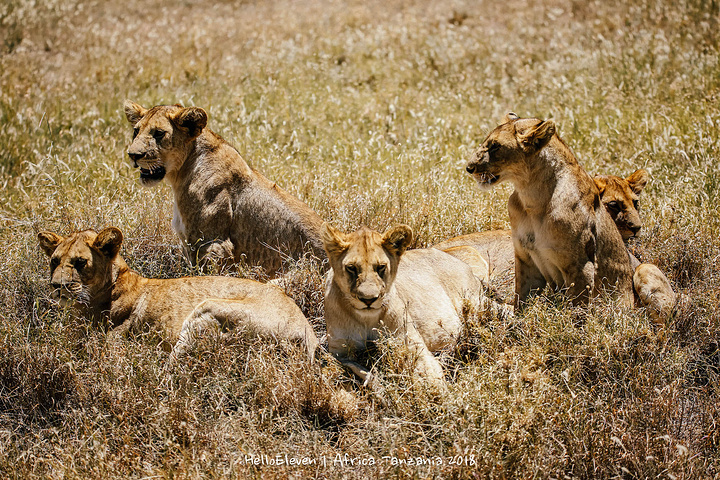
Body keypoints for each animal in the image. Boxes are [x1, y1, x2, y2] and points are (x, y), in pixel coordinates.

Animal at [38, 227, 320, 362]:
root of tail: (308, 332)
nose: (57, 286)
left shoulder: (115, 343)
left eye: (80, 262)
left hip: (206, 311)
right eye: (54, 261)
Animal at [322, 223, 484, 388]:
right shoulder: (338, 351)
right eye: (351, 267)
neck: (366, 319)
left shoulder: (408, 342)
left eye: (381, 267)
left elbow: (429, 375)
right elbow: (333, 369)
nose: (368, 300)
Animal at [464, 112, 632, 308]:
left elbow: (577, 309)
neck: (531, 196)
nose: (469, 168)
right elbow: (521, 300)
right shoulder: (526, 258)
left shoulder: (582, 266)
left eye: (495, 146)